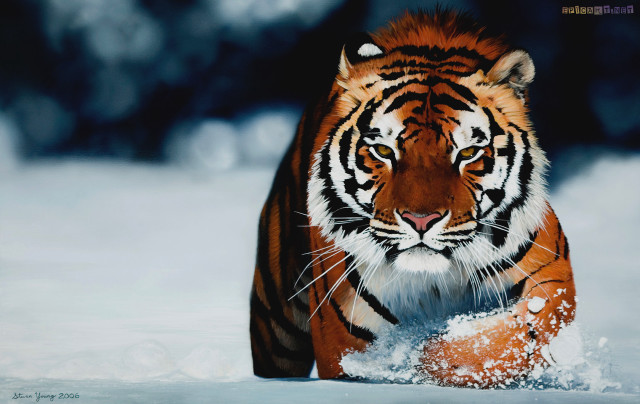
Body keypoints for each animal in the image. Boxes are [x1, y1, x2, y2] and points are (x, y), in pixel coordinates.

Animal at [249, 10, 576, 388]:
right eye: (383, 150)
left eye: (468, 153)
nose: (421, 221)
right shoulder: (343, 333)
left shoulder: (552, 278)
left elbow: (502, 340)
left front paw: (424, 358)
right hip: (276, 325)